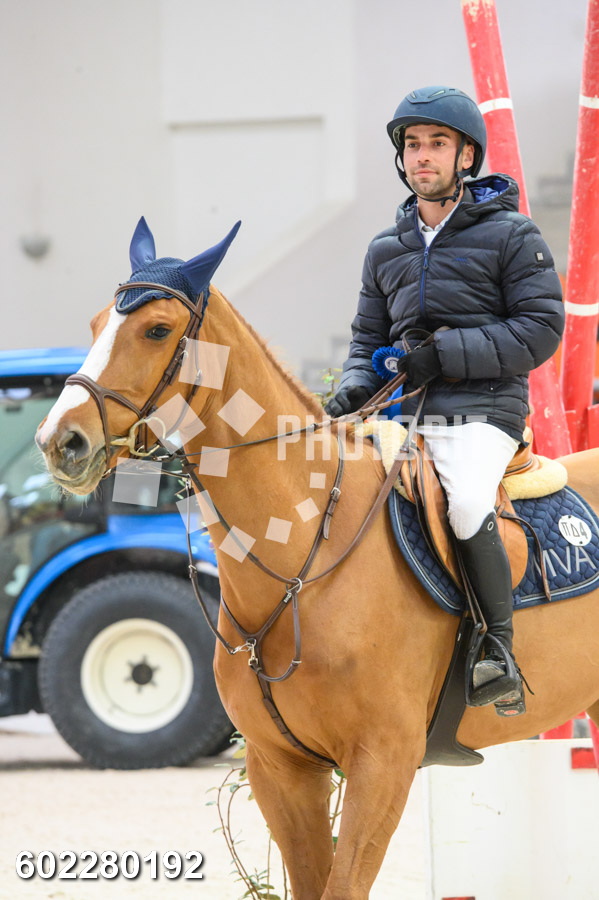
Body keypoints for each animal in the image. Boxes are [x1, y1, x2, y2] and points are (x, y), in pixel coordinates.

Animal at [36, 220, 599, 900]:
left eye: (157, 330)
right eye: (96, 325)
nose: (60, 442)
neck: (304, 562)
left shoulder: (382, 763)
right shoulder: (282, 767)